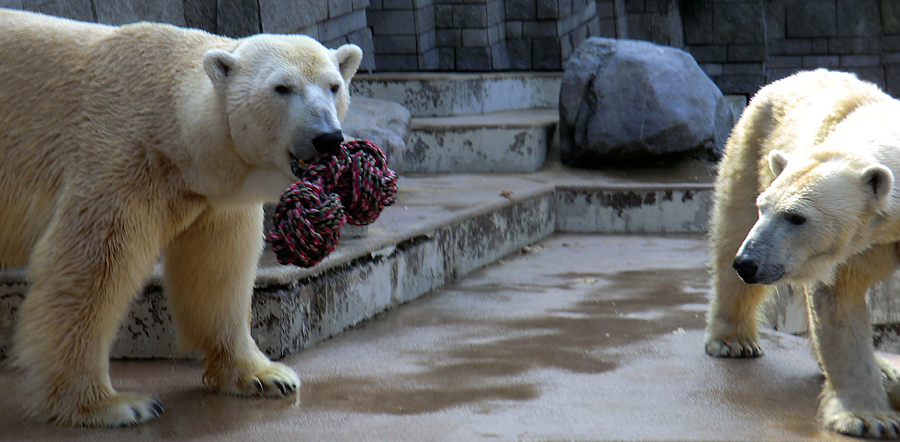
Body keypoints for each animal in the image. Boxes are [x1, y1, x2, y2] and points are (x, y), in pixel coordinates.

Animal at [1, 8, 364, 426]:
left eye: (334, 86)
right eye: (281, 88)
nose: (327, 137)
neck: (170, 126)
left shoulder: (212, 197)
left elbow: (218, 270)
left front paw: (265, 375)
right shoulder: (120, 159)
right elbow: (89, 266)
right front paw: (110, 404)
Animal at [712, 69, 900, 438]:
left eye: (796, 217)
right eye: (765, 208)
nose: (749, 263)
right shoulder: (853, 246)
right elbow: (838, 298)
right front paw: (869, 418)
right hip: (752, 144)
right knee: (731, 227)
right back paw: (733, 340)